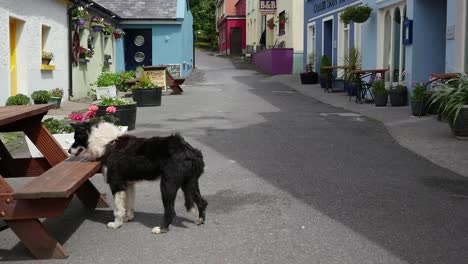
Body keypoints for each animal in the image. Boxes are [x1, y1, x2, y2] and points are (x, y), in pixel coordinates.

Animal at [69, 121, 207, 233]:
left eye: (76, 138)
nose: (69, 151)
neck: (107, 142)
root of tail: (189, 150)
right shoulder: (129, 183)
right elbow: (129, 203)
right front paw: (128, 218)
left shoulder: (116, 183)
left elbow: (118, 208)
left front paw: (116, 224)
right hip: (188, 184)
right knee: (203, 202)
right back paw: (200, 220)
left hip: (168, 184)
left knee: (170, 211)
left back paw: (161, 229)